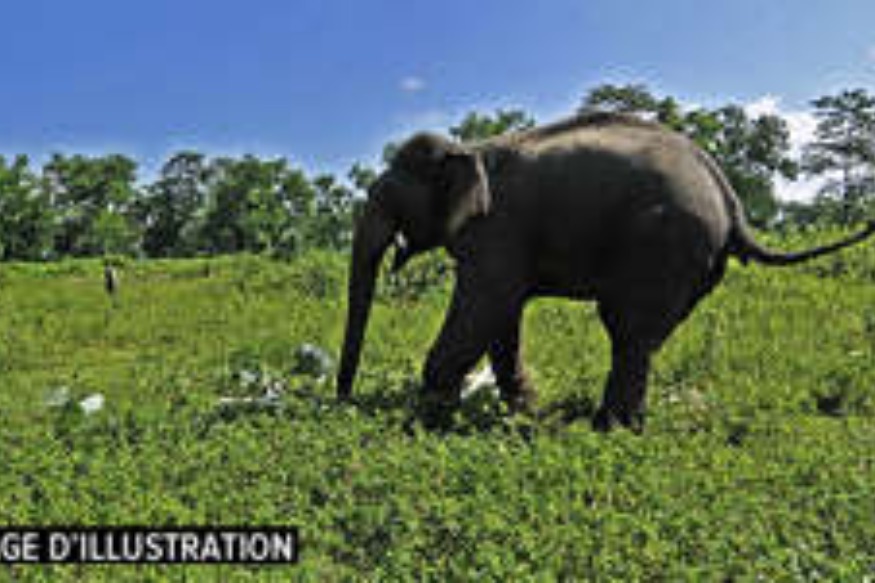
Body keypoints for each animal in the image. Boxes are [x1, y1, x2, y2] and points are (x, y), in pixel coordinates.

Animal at [336, 112, 875, 431]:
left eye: (387, 199)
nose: (343, 404)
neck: (471, 147)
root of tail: (732, 201)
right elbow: (502, 318)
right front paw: (526, 413)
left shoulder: (498, 230)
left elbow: (487, 304)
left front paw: (424, 425)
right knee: (639, 337)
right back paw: (618, 424)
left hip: (664, 241)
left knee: (626, 329)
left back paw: (608, 428)